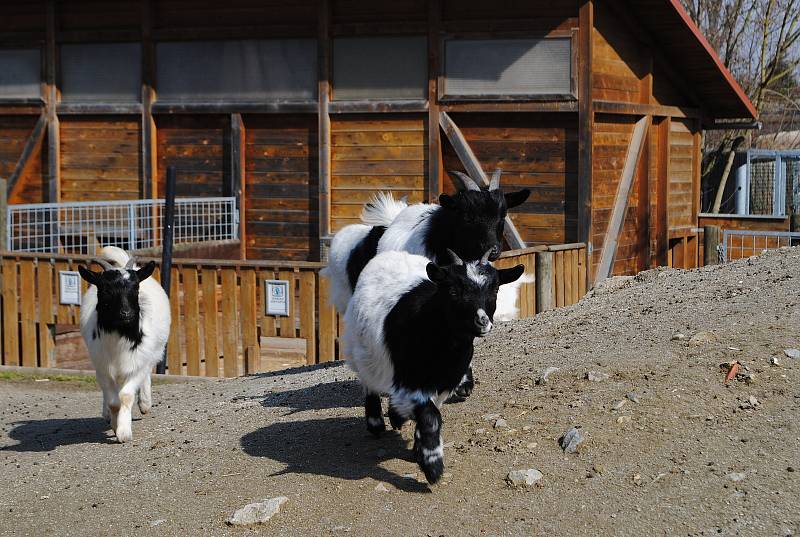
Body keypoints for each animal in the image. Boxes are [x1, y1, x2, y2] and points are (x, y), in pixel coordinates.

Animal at [78, 245, 170, 442]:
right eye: (105, 290)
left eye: (135, 288)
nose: (126, 314)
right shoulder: (102, 367)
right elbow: (113, 401)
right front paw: (114, 423)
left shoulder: (137, 363)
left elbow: (126, 396)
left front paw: (124, 432)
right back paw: (106, 414)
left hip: (151, 353)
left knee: (146, 375)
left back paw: (145, 403)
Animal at [344, 247, 524, 482]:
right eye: (454, 291)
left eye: (494, 289)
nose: (482, 322)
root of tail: (390, 254)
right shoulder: (409, 381)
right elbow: (431, 417)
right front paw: (433, 465)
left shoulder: (442, 384)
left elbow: (429, 411)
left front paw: (419, 448)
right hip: (360, 351)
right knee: (368, 382)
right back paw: (375, 423)